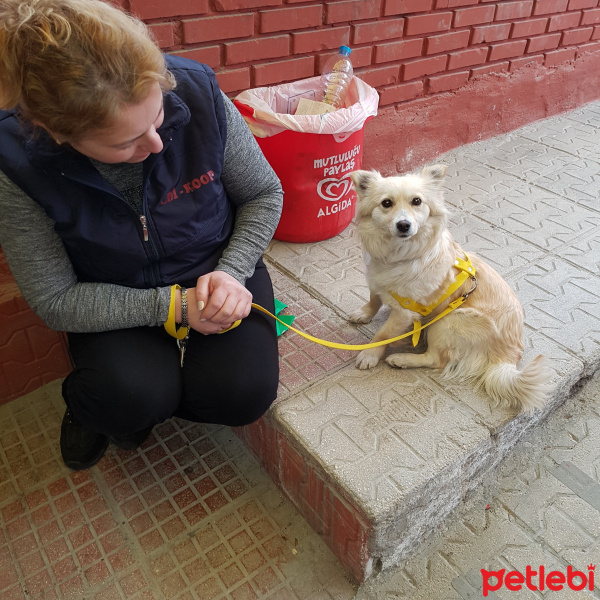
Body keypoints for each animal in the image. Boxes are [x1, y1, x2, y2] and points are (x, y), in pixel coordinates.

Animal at [346, 166, 552, 414]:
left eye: (417, 201)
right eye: (386, 203)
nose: (404, 225)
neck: (398, 254)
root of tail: (508, 358)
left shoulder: (405, 312)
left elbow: (383, 334)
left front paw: (370, 354)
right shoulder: (376, 281)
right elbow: (374, 299)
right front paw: (364, 313)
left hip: (448, 321)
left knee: (436, 359)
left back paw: (402, 359)